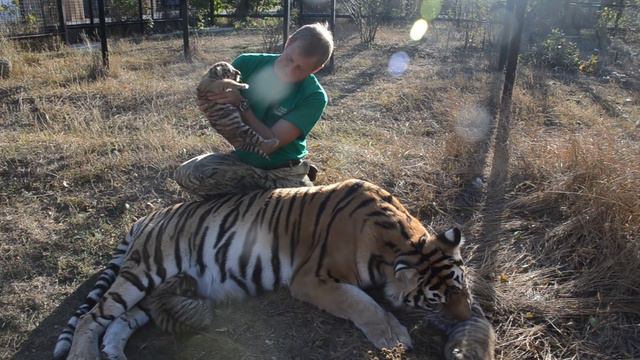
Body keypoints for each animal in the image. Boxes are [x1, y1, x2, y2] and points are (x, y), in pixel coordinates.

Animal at [55, 179, 472, 358]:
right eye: (434, 301)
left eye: (462, 289)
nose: (466, 319)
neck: (399, 238)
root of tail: (147, 217)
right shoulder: (310, 279)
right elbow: (361, 303)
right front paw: (393, 336)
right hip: (143, 272)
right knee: (92, 316)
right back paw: (84, 355)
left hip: (153, 290)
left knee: (120, 322)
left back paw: (113, 354)